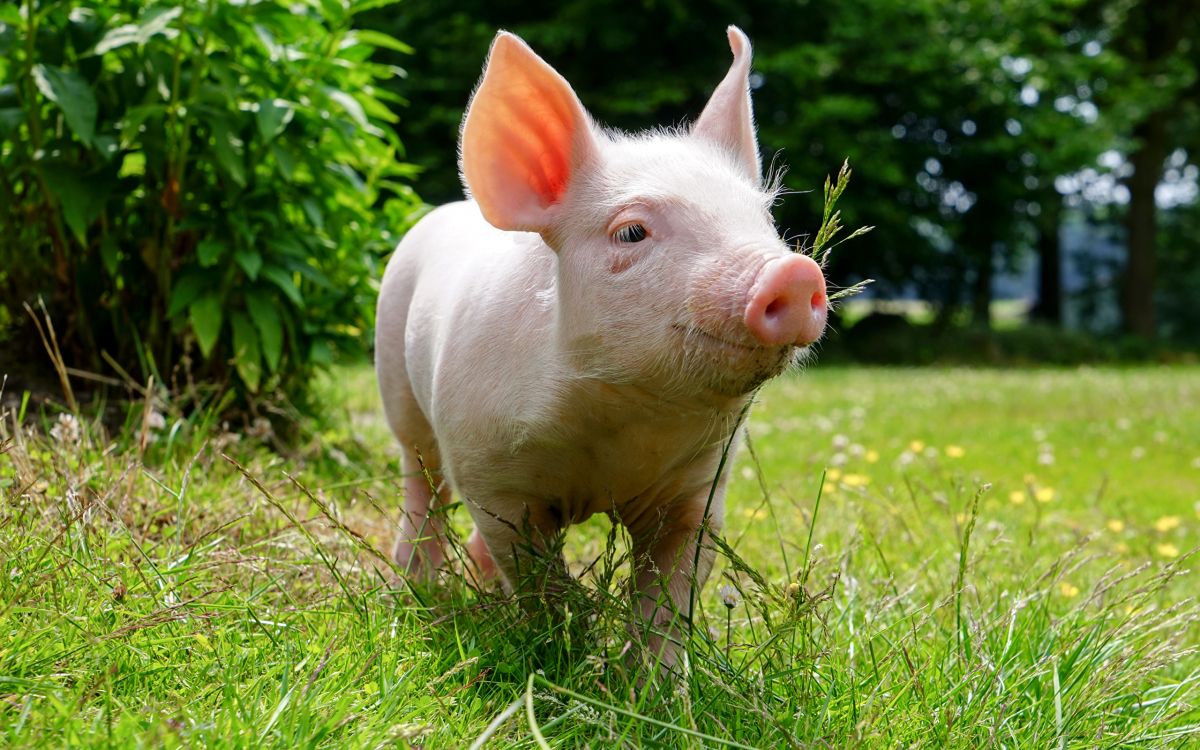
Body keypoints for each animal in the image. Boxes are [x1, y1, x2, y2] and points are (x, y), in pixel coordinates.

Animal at [374, 26, 825, 667]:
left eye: (764, 219)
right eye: (631, 231)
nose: (794, 272)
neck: (617, 428)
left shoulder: (699, 489)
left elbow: (671, 592)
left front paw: (655, 685)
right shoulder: (490, 474)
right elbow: (532, 571)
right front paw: (564, 645)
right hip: (399, 388)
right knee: (423, 488)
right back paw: (411, 591)